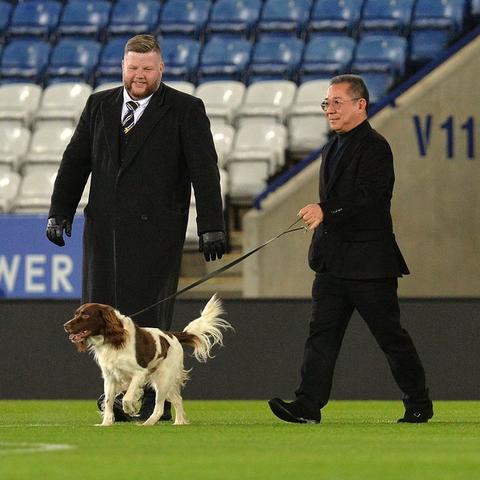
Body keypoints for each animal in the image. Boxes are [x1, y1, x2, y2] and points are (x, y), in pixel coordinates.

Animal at [63, 294, 231, 426]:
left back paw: (148, 423)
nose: (65, 326)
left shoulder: (139, 373)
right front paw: (106, 423)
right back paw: (179, 423)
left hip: (163, 379)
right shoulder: (110, 377)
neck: (114, 340)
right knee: (177, 399)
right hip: (165, 381)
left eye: (86, 315)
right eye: (76, 314)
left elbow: (127, 397)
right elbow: (108, 401)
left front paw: (129, 408)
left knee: (160, 407)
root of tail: (174, 335)